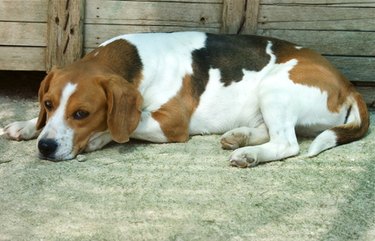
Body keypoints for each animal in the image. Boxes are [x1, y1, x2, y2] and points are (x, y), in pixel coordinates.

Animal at [2, 31, 370, 168]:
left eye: (82, 114)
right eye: (48, 104)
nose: (45, 147)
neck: (135, 61)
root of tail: (346, 83)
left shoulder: (171, 123)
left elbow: (127, 125)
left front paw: (98, 138)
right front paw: (27, 125)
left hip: (274, 88)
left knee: (286, 143)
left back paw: (248, 154)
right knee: (270, 132)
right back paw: (240, 137)